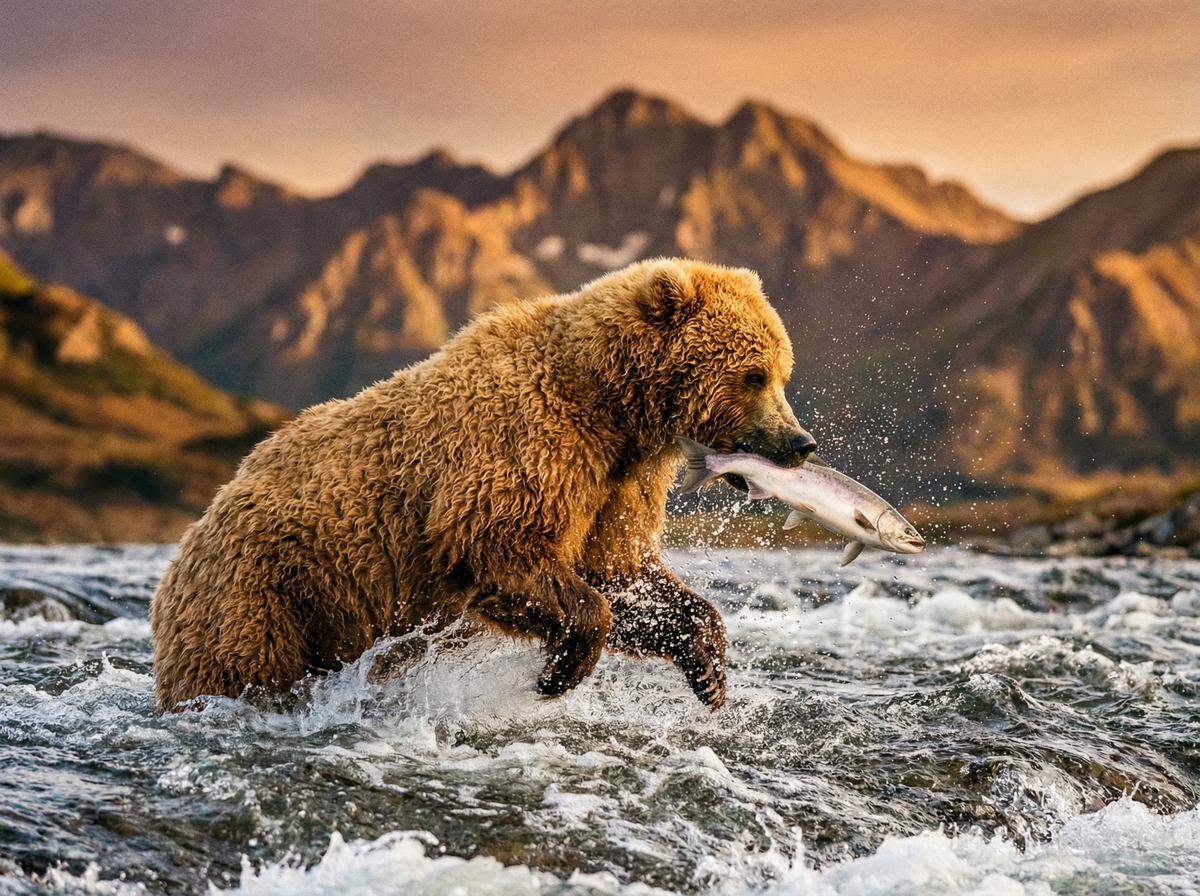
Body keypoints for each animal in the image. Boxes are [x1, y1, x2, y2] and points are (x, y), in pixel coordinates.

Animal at [150, 258, 816, 711]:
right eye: (754, 375)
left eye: (781, 371)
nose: (800, 442)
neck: (612, 408)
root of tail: (190, 539)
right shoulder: (526, 447)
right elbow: (502, 546)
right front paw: (560, 670)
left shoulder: (614, 485)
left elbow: (622, 572)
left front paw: (709, 669)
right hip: (265, 591)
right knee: (239, 666)